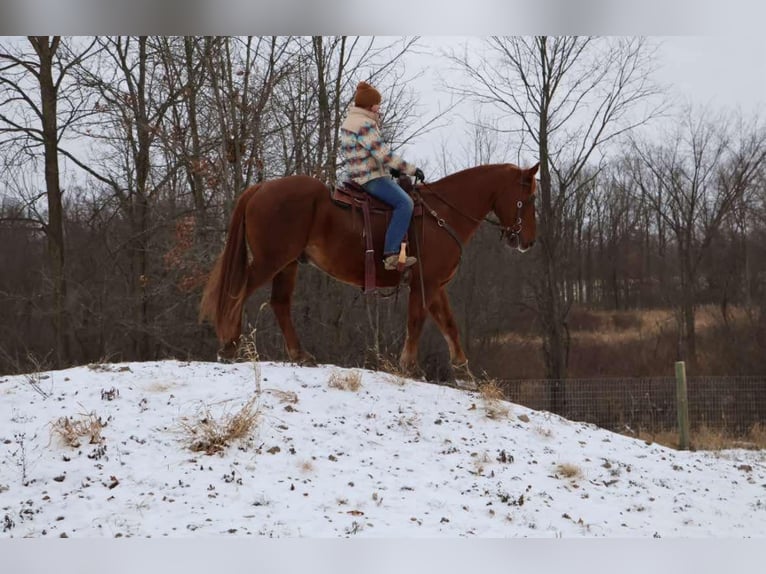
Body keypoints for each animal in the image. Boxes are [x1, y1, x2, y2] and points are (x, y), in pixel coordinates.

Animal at [199, 162, 539, 379]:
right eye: (529, 197)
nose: (528, 241)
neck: (441, 215)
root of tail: (260, 189)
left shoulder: (435, 285)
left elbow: (449, 325)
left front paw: (463, 371)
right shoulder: (425, 283)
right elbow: (416, 322)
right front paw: (410, 366)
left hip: (288, 264)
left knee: (280, 304)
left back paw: (300, 355)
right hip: (271, 260)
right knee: (238, 293)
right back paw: (229, 346)